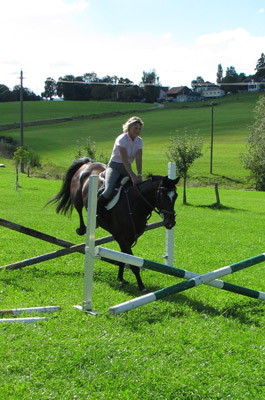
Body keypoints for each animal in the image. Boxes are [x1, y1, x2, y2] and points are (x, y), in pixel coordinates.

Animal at [48, 156, 178, 290]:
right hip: (77, 196)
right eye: (162, 195)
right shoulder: (121, 237)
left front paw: (120, 278)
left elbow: (124, 258)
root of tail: (88, 163)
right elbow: (133, 263)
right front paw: (141, 286)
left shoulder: (128, 239)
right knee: (79, 209)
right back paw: (82, 228)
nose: (170, 223)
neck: (134, 204)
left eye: (176, 196)